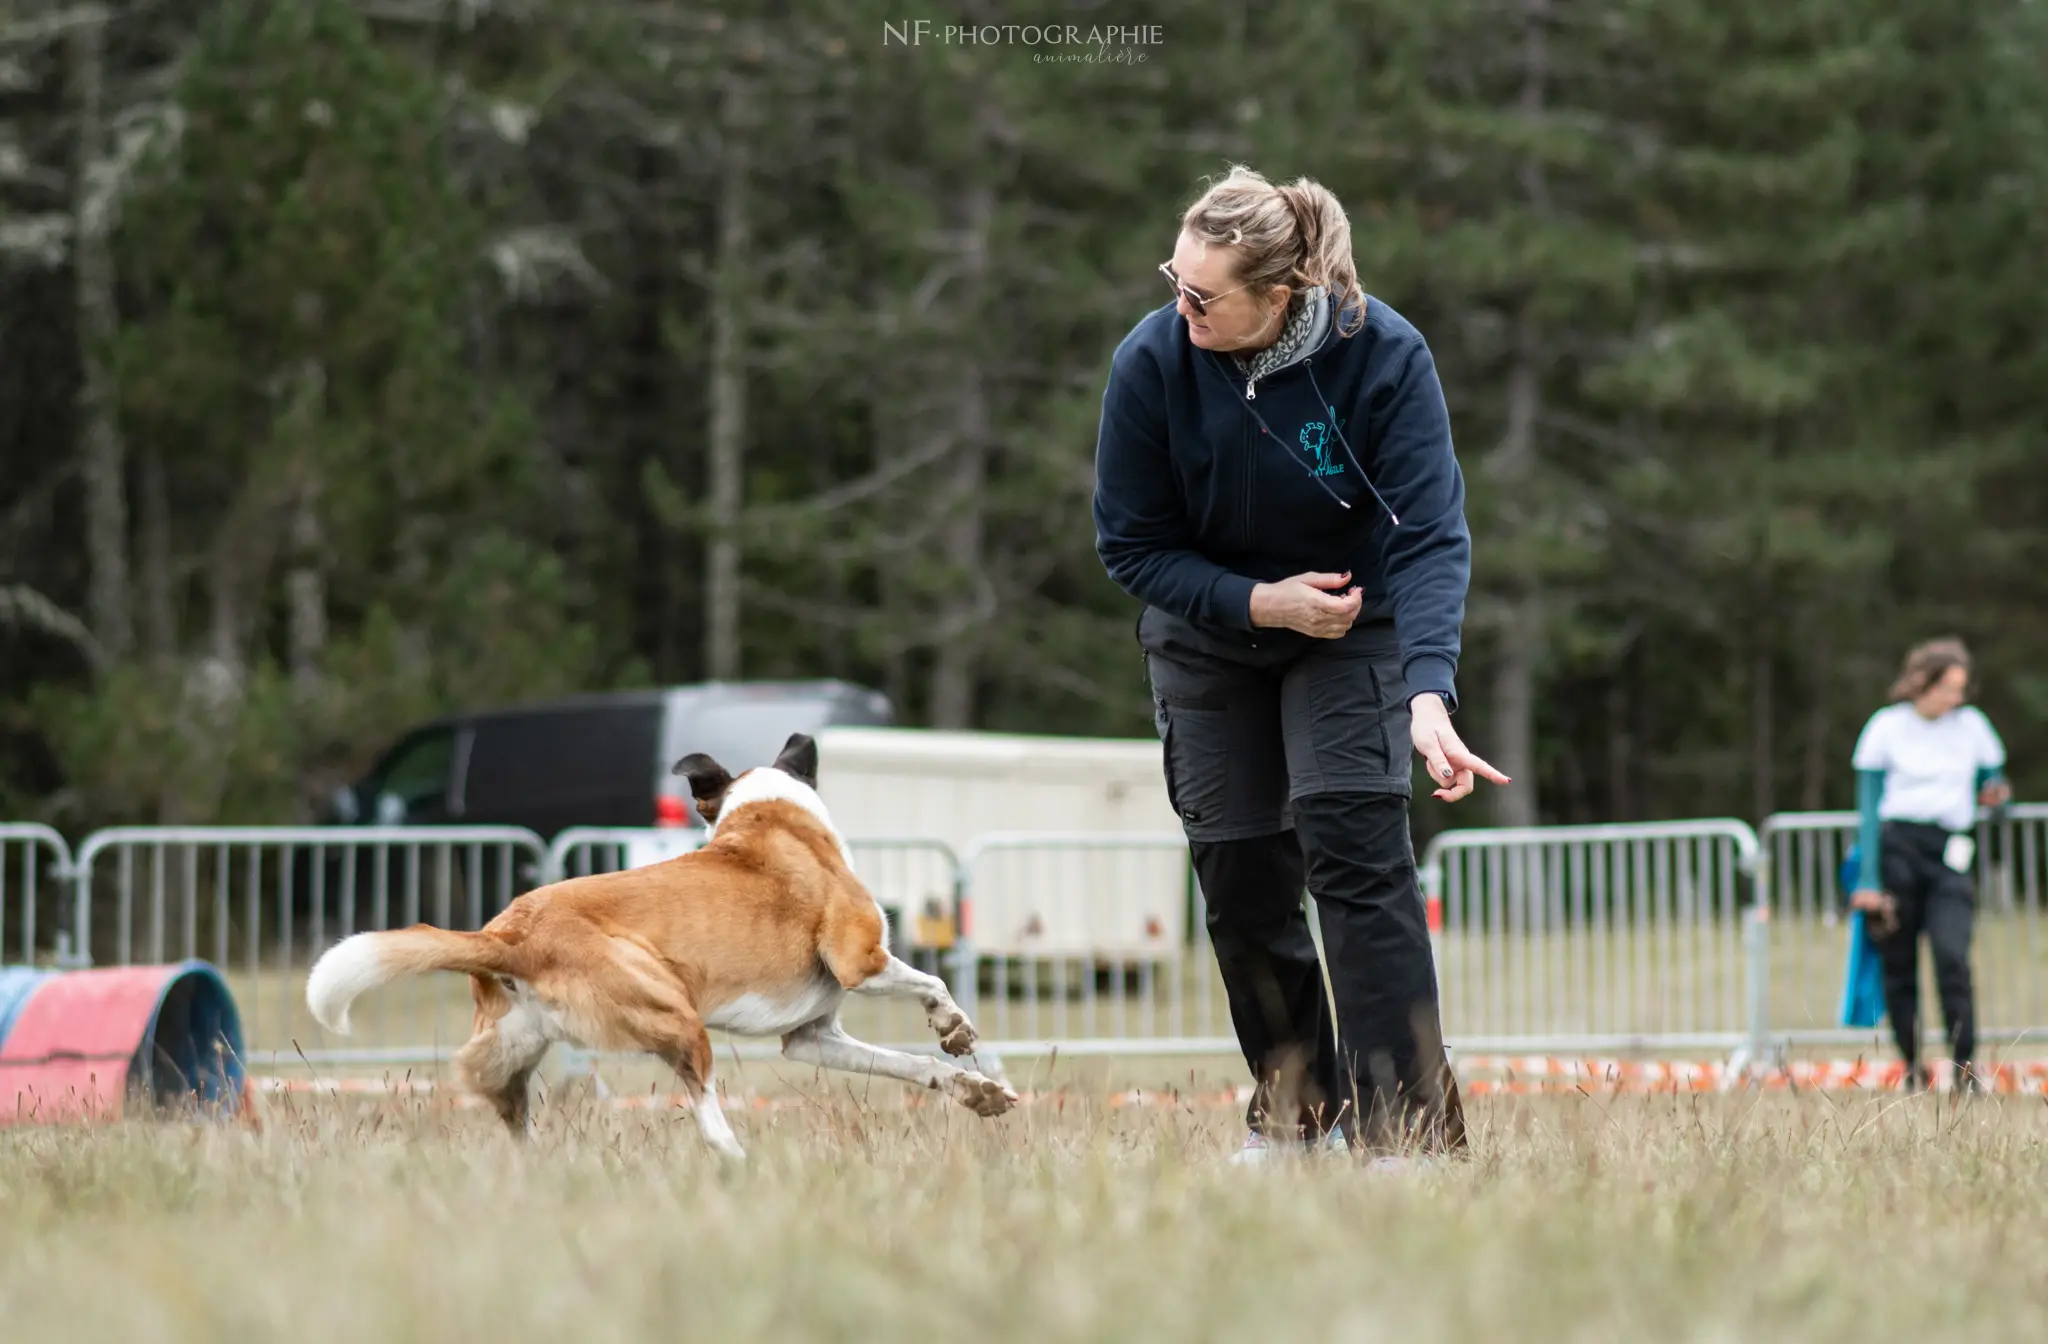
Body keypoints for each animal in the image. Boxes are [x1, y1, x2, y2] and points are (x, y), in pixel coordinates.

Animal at [303, 729, 1015, 1163]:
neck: (766, 815)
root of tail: (506, 935)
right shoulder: (859, 961)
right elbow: (933, 984)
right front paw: (955, 1029)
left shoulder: (814, 1038)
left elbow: (904, 1064)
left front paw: (974, 1089)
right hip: (675, 1015)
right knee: (705, 1108)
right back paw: (740, 1162)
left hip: (508, 1054)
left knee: (511, 1116)